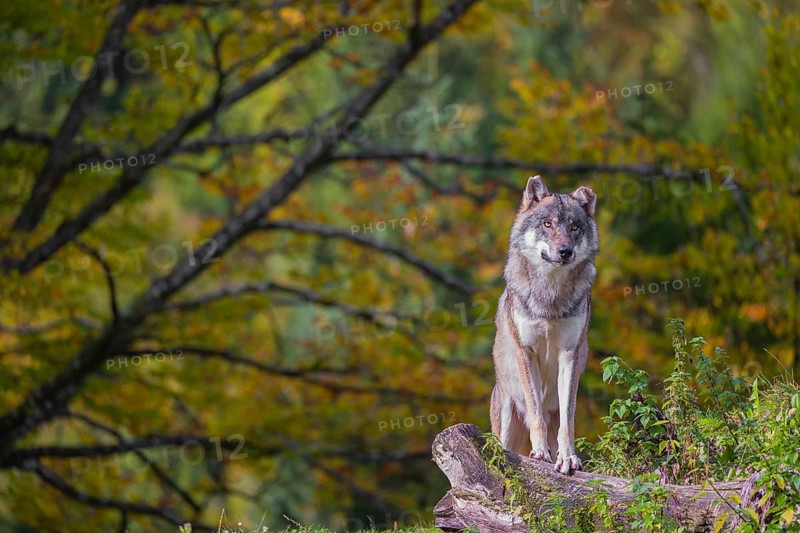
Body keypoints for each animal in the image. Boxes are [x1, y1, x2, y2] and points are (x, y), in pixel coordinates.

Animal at [489, 175, 598, 475]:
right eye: (547, 224)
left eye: (574, 227)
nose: (565, 251)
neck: (550, 296)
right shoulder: (527, 352)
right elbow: (535, 412)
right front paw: (539, 453)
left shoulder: (569, 355)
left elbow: (568, 424)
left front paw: (567, 458)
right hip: (505, 422)